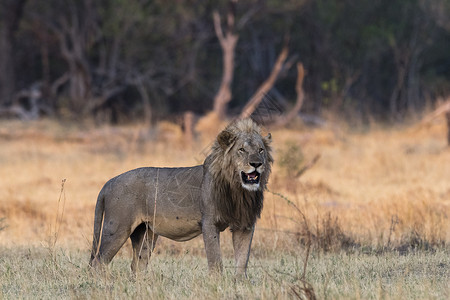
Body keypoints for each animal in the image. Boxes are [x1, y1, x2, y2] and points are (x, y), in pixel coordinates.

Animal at [88, 118, 270, 278]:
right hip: (117, 228)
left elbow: (242, 258)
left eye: (261, 150)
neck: (239, 190)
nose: (256, 164)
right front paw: (216, 282)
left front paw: (240, 282)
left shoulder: (244, 224)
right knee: (99, 261)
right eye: (241, 150)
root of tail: (109, 182)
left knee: (137, 264)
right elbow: (215, 259)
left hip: (145, 233)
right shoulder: (209, 222)